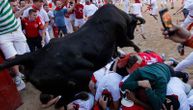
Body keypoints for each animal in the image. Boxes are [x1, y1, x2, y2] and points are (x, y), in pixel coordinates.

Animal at [0, 4, 145, 106]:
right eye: (133, 25)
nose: (133, 34)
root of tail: (34, 56)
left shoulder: (115, 45)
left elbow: (117, 51)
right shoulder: (122, 38)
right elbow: (130, 43)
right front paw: (137, 50)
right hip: (79, 79)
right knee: (62, 102)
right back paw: (83, 96)